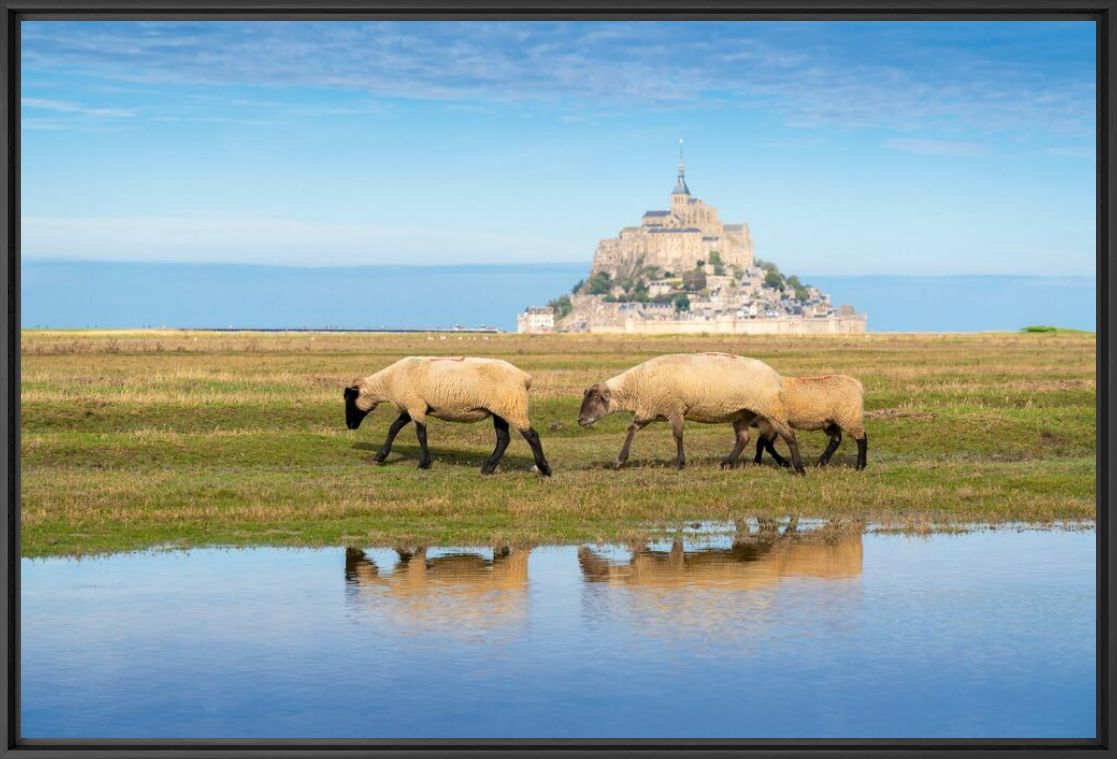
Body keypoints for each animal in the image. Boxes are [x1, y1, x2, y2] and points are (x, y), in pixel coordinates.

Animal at [339, 355, 549, 473]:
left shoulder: (415, 406)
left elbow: (421, 434)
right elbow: (393, 429)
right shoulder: (412, 406)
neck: (387, 382)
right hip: (500, 410)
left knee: (531, 435)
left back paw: (545, 468)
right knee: (503, 439)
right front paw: (380, 456)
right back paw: (487, 469)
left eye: (348, 400)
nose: (350, 425)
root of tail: (525, 377)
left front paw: (423, 464)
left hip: (513, 407)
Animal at [576, 350, 804, 471]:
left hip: (769, 410)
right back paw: (727, 463)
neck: (637, 385)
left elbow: (677, 435)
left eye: (595, 398)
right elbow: (631, 429)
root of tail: (776, 376)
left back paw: (798, 467)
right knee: (743, 438)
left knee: (788, 434)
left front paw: (680, 463)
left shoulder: (674, 408)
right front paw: (619, 461)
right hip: (741, 412)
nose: (580, 420)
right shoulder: (650, 410)